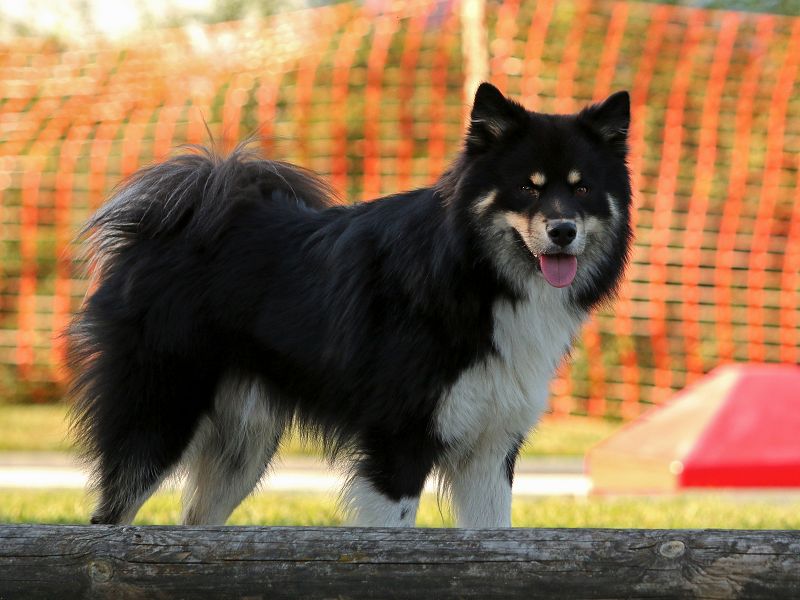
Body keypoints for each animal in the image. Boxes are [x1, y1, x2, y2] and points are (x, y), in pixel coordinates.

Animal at [67, 83, 632, 524]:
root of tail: (175, 220)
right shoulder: (399, 442)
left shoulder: (491, 449)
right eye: (526, 188)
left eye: (583, 190)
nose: (563, 231)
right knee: (110, 518)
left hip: (242, 448)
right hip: (158, 418)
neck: (476, 275)